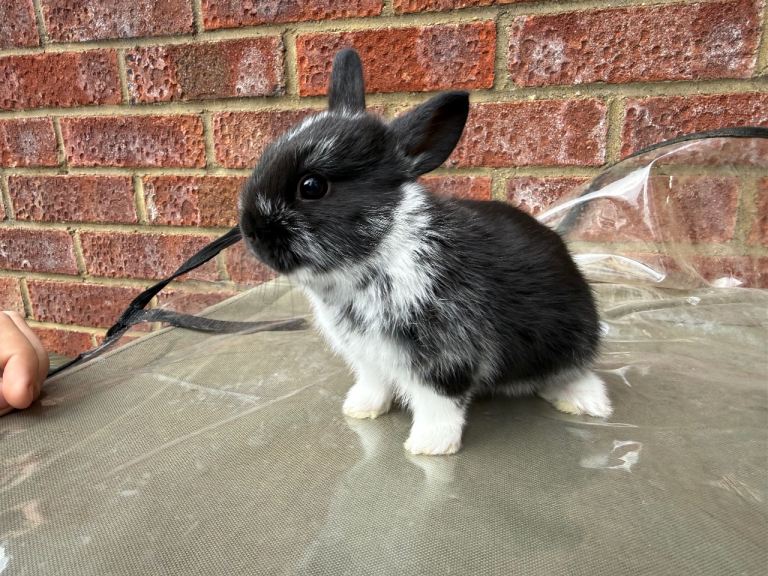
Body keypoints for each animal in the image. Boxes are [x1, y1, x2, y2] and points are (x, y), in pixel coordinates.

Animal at [239, 48, 611, 456]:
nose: (250, 232)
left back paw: (587, 402)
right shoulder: (368, 357)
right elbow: (374, 384)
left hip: (571, 341)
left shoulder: (445, 356)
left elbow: (439, 403)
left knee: (574, 372)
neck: (379, 251)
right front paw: (360, 409)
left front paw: (429, 446)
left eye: (312, 186)